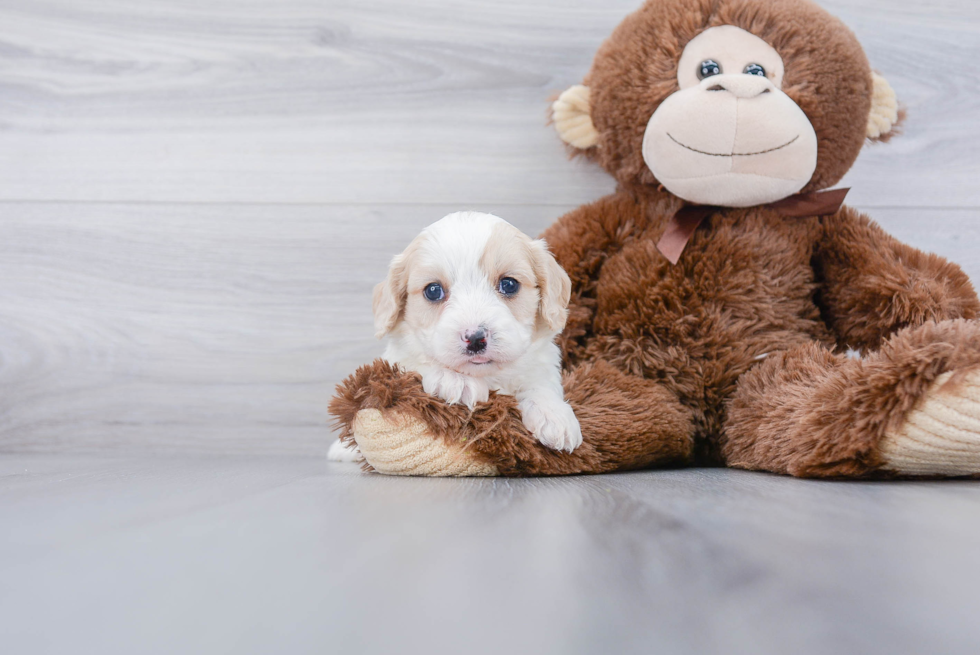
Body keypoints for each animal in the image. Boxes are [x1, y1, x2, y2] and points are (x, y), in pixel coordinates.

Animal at [330, 211, 580, 462]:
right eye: (433, 291)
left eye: (509, 284)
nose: (476, 338)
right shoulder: (399, 359)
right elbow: (418, 361)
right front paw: (455, 380)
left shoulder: (543, 364)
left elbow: (541, 384)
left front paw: (554, 415)